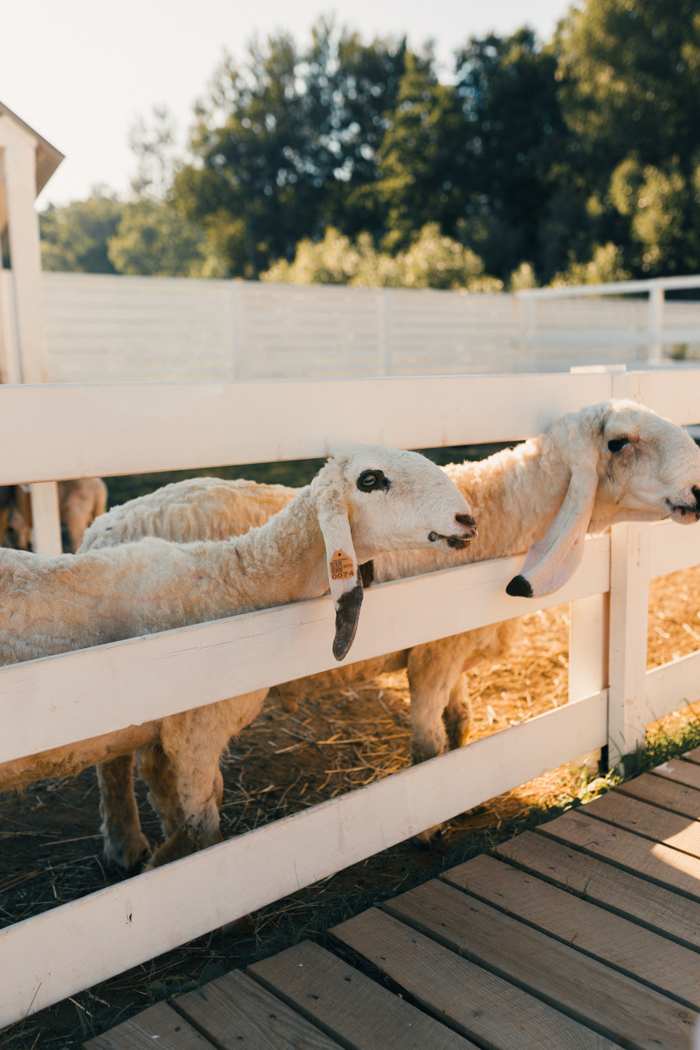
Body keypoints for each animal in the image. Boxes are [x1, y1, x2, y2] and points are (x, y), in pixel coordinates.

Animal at [0, 445, 475, 869]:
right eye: (370, 479)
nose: (467, 519)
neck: (234, 580)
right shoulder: (193, 734)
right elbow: (203, 821)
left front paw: (165, 855)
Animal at [82, 400, 700, 849]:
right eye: (619, 442)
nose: (698, 490)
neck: (503, 515)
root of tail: (100, 531)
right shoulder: (433, 653)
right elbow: (428, 743)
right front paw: (429, 825)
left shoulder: (454, 647)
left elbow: (459, 725)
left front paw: (465, 792)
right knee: (141, 767)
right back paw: (140, 846)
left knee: (115, 760)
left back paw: (129, 847)